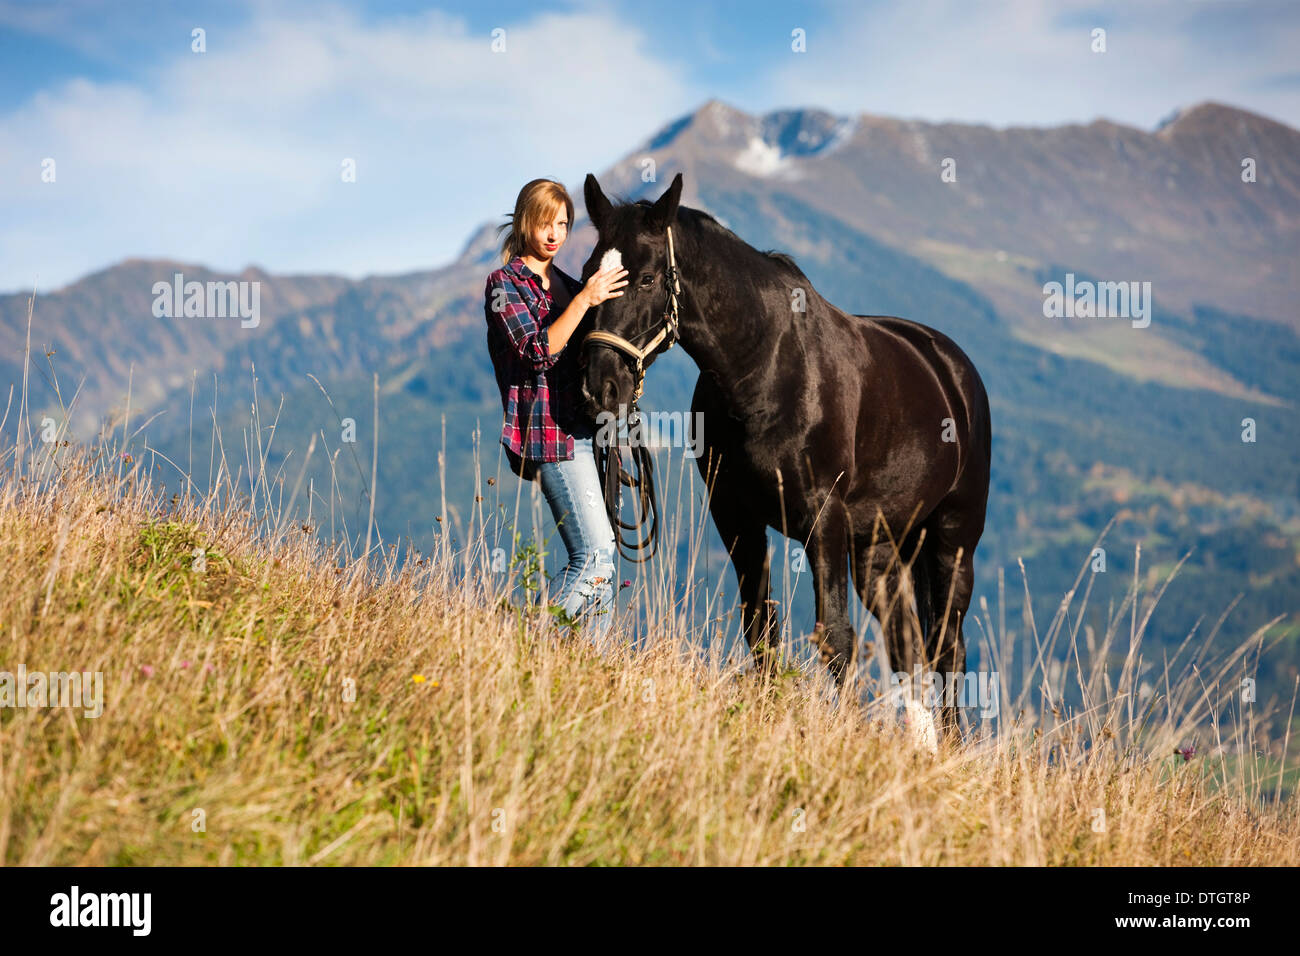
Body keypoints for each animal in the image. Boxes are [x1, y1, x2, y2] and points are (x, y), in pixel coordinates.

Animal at [582, 174, 993, 738]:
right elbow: (760, 626)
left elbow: (835, 636)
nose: (601, 386)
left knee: (948, 648)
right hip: (879, 548)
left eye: (646, 279)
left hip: (953, 540)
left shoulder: (824, 521)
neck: (766, 369)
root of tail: (951, 368)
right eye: (587, 274)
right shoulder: (735, 517)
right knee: (906, 639)